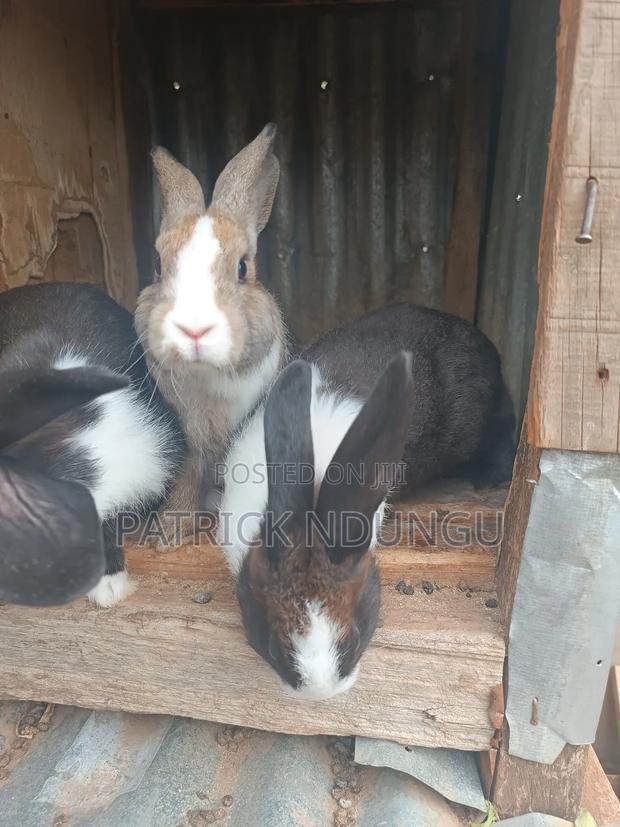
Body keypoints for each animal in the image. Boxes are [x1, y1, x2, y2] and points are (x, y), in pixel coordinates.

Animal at [134, 123, 287, 546]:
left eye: (242, 267)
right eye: (158, 266)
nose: (194, 329)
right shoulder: (189, 438)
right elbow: (187, 474)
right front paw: (168, 532)